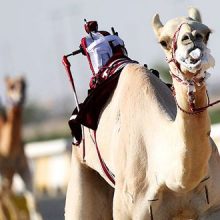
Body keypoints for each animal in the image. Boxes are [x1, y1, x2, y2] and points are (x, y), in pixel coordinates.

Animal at [65, 7, 220, 219]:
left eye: (206, 33)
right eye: (163, 41)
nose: (191, 39)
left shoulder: (211, 208)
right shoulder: (128, 209)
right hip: (80, 170)